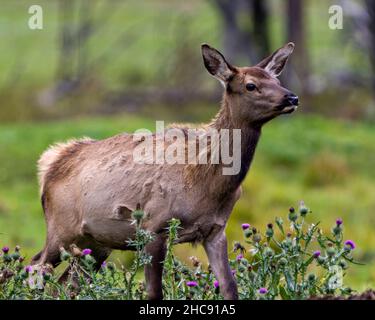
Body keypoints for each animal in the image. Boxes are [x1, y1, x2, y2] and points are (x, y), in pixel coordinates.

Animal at [32, 42, 300, 300]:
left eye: (277, 81)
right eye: (251, 85)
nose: (292, 98)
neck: (206, 184)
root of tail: (50, 163)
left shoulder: (216, 231)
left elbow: (229, 287)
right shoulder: (154, 226)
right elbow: (154, 292)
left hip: (96, 243)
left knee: (65, 284)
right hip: (61, 228)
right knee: (36, 267)